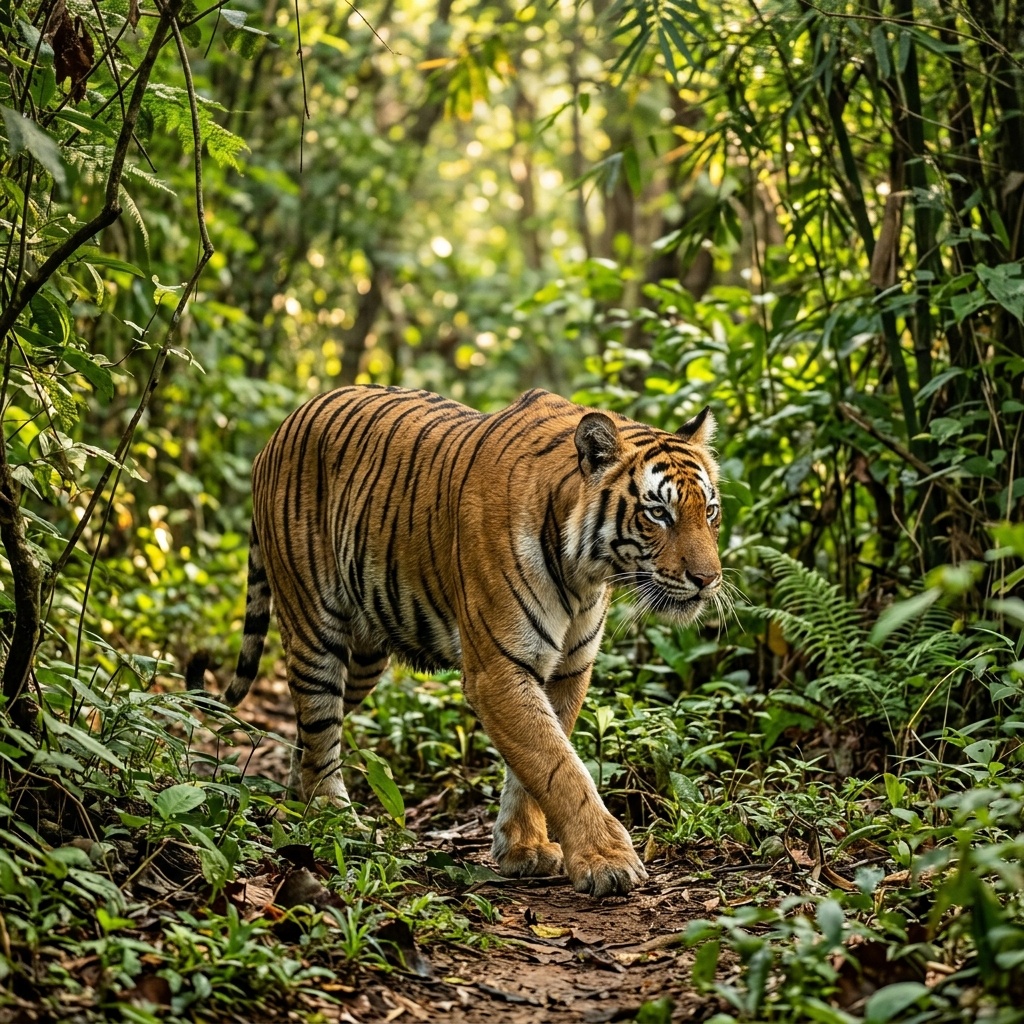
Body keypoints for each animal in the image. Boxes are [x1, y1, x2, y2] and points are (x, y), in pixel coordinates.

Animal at [226, 385, 723, 897]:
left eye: (709, 511)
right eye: (657, 513)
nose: (708, 580)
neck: (584, 574)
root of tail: (279, 431)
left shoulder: (568, 669)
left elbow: (537, 763)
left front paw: (524, 849)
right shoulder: (498, 668)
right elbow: (560, 767)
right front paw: (607, 860)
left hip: (363, 657)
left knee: (307, 732)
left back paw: (298, 808)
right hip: (314, 628)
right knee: (320, 728)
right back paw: (332, 820)